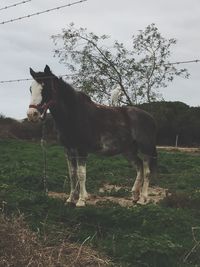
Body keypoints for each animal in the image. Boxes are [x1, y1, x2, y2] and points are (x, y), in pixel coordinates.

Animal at [27, 65, 158, 207]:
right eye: (30, 89)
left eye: (45, 88)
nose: (31, 114)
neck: (73, 114)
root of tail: (150, 117)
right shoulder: (68, 150)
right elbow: (72, 174)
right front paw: (70, 199)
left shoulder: (81, 150)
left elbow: (81, 174)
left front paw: (81, 200)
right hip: (128, 150)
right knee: (139, 167)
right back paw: (134, 196)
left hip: (146, 148)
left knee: (147, 171)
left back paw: (142, 199)